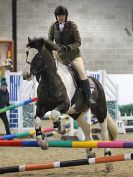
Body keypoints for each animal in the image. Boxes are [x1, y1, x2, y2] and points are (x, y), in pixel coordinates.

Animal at [22, 37, 117, 171]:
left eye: (38, 55)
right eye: (27, 53)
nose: (25, 75)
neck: (50, 80)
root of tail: (96, 81)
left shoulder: (65, 104)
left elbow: (54, 114)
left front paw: (60, 128)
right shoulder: (42, 106)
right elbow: (37, 120)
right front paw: (43, 142)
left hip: (100, 110)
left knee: (103, 133)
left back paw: (108, 161)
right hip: (76, 112)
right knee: (86, 127)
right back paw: (90, 152)